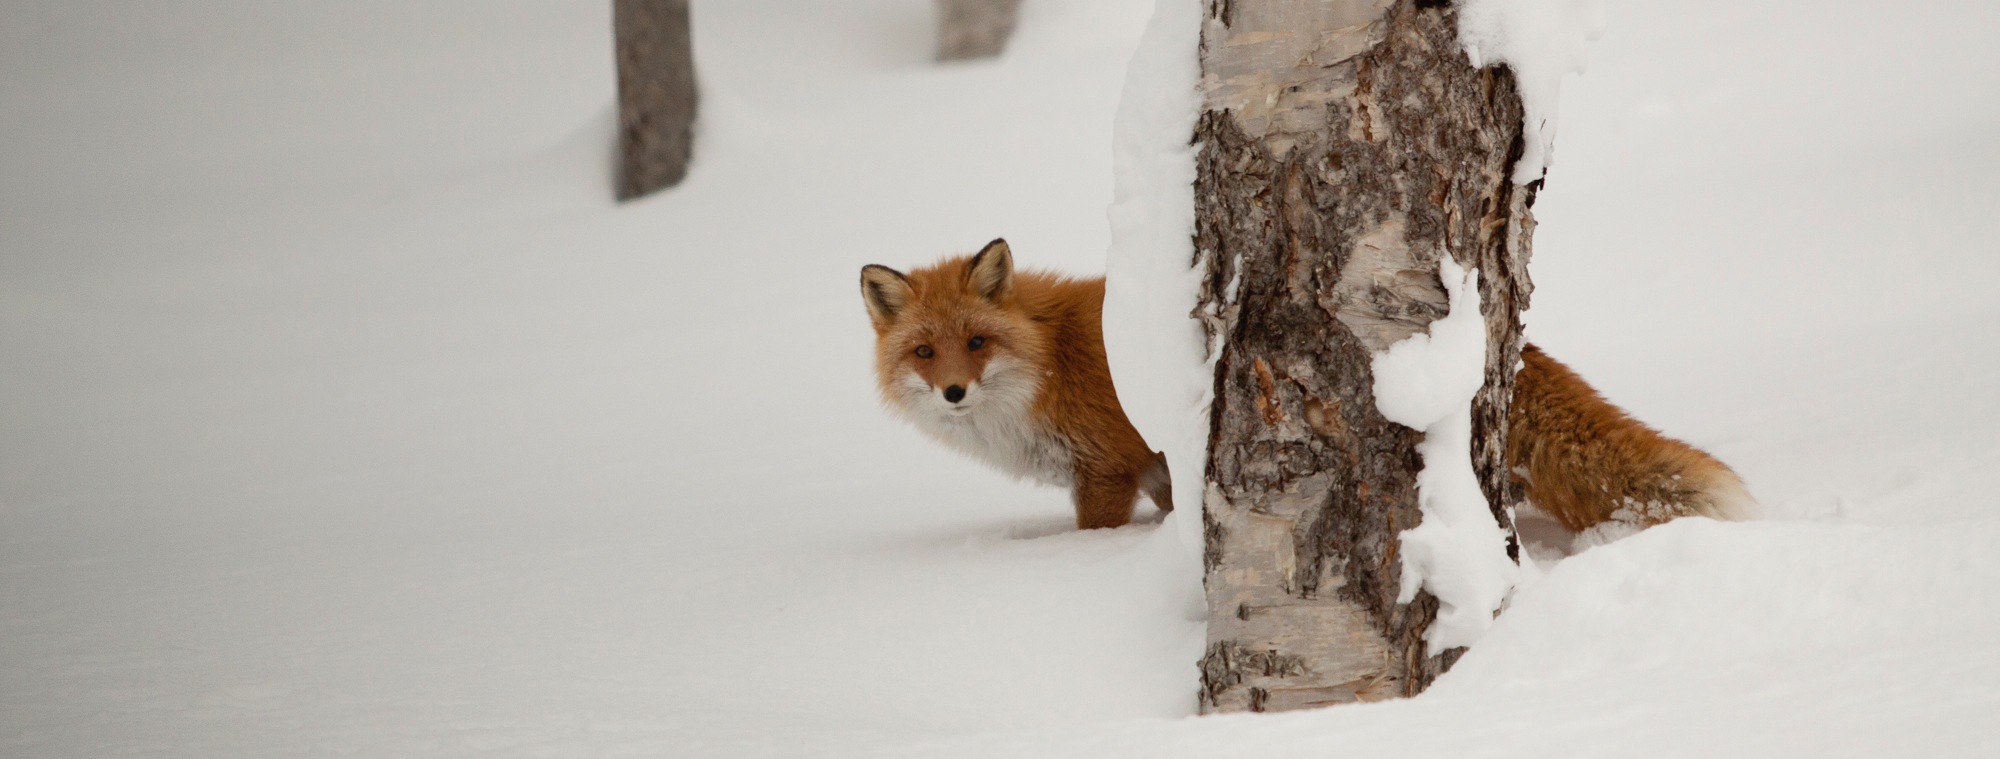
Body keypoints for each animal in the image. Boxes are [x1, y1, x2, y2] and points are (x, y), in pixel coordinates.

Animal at [856, 239, 1752, 531]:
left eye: (977, 342)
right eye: (926, 352)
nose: (954, 394)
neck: (1045, 366)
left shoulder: (1104, 469)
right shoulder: (1153, 473)